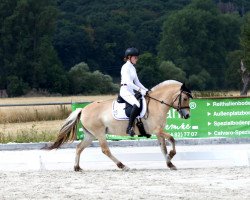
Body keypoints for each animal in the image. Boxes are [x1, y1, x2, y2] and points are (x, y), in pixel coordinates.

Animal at [45, 80, 192, 171]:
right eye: (185, 98)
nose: (187, 116)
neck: (157, 104)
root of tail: (83, 109)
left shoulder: (159, 131)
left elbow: (163, 148)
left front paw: (170, 163)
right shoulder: (157, 130)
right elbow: (172, 139)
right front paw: (172, 155)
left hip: (90, 135)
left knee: (79, 148)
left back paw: (77, 167)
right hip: (99, 133)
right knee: (105, 150)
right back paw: (123, 166)